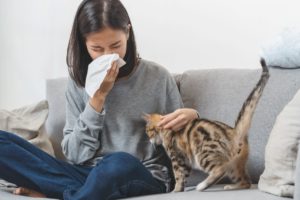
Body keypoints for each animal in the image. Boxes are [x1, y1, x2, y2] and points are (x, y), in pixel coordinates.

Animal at [143, 59, 270, 192]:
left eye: (147, 131)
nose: (149, 140)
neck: (165, 130)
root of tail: (234, 132)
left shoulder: (177, 157)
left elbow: (178, 176)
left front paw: (175, 190)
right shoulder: (185, 161)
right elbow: (183, 177)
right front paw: (180, 189)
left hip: (204, 155)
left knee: (220, 170)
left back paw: (202, 185)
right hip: (235, 165)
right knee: (245, 181)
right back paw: (231, 186)